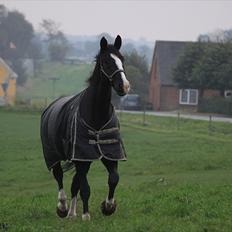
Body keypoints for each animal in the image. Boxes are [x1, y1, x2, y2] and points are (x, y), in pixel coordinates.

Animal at [40, 35, 130, 220]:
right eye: (106, 61)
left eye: (122, 59)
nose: (124, 86)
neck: (96, 115)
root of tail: (49, 108)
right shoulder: (80, 157)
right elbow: (85, 188)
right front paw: (86, 215)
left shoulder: (107, 154)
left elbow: (113, 179)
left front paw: (108, 206)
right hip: (53, 155)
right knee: (59, 177)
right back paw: (63, 208)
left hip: (83, 160)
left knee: (75, 183)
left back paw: (72, 213)